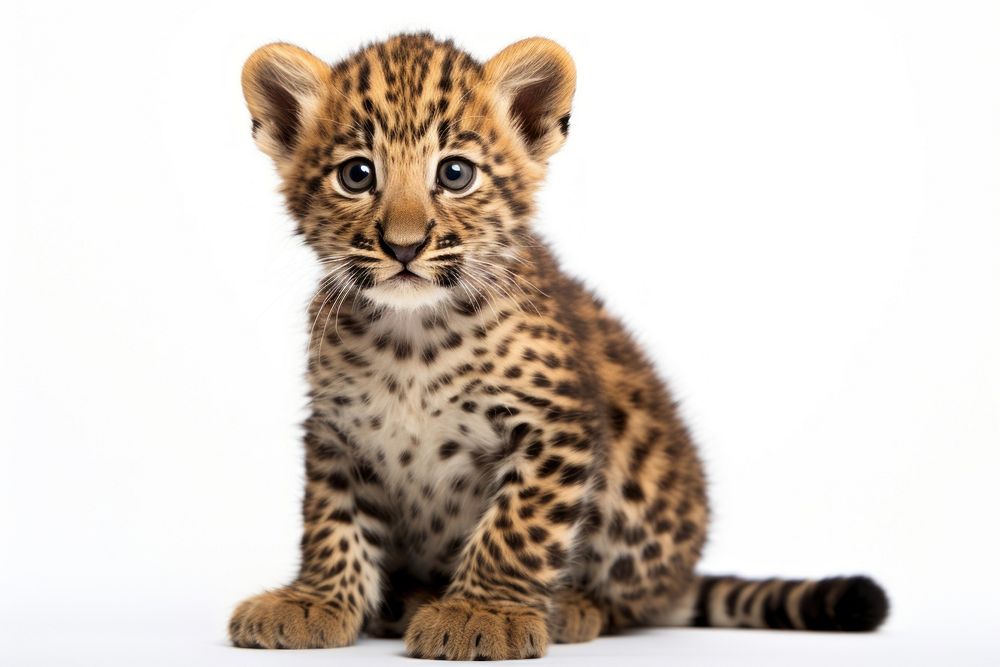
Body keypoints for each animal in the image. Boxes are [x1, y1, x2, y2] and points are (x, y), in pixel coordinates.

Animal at [228, 33, 889, 660]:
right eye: (357, 175)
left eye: (455, 174)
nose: (405, 246)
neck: (411, 337)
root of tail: (680, 579)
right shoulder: (337, 431)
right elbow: (333, 521)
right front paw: (314, 601)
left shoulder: (555, 425)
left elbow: (517, 526)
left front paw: (481, 613)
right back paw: (406, 600)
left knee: (630, 602)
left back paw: (568, 607)